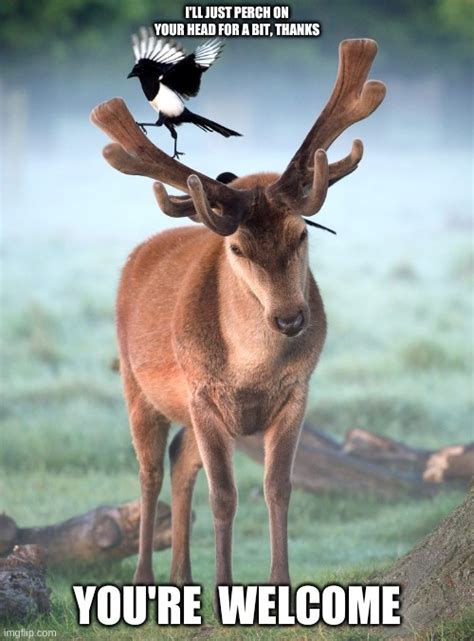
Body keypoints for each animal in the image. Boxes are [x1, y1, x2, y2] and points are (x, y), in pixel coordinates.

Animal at [90, 38, 386, 592]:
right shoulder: (202, 392)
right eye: (237, 249)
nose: (291, 319)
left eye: (302, 234)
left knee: (180, 460)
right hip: (136, 383)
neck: (251, 372)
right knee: (149, 470)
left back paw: (182, 577)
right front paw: (225, 587)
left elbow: (278, 486)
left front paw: (279, 583)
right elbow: (223, 496)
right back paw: (144, 577)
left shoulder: (297, 393)